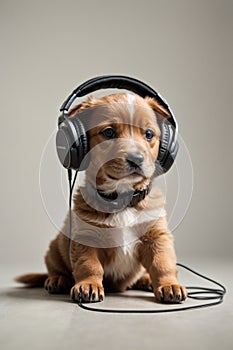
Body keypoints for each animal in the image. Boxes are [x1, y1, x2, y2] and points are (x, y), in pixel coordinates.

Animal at [16, 93, 187, 304]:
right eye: (109, 133)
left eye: (148, 134)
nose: (136, 159)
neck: (122, 200)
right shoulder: (86, 237)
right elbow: (89, 265)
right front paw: (89, 285)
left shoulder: (156, 237)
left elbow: (163, 263)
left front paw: (169, 284)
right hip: (54, 249)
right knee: (55, 268)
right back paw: (57, 280)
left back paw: (145, 280)